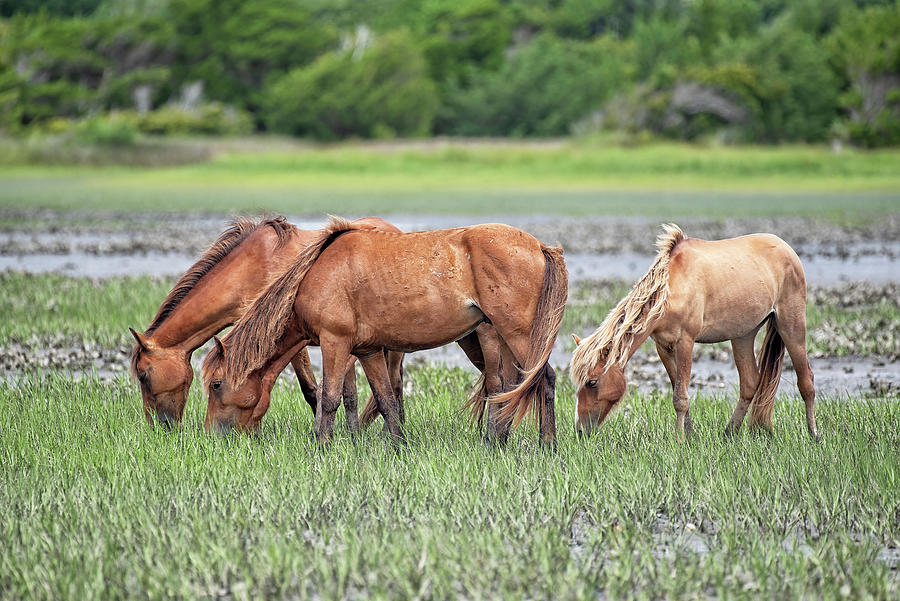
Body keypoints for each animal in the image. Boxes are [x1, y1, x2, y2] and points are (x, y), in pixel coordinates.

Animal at [203, 216, 568, 446]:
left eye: (216, 384)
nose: (211, 436)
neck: (315, 275)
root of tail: (539, 246)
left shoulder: (334, 343)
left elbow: (330, 398)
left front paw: (322, 447)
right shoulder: (367, 351)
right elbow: (385, 398)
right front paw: (397, 446)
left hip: (519, 335)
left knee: (543, 379)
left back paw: (547, 444)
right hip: (504, 337)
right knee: (509, 386)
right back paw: (496, 442)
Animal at [572, 225, 820, 440]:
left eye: (592, 382)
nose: (581, 431)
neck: (672, 288)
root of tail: (787, 249)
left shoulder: (686, 342)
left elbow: (680, 397)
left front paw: (679, 441)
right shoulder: (663, 346)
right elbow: (677, 389)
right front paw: (690, 436)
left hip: (791, 325)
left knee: (806, 381)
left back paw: (814, 434)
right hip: (743, 335)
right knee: (750, 383)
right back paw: (729, 434)